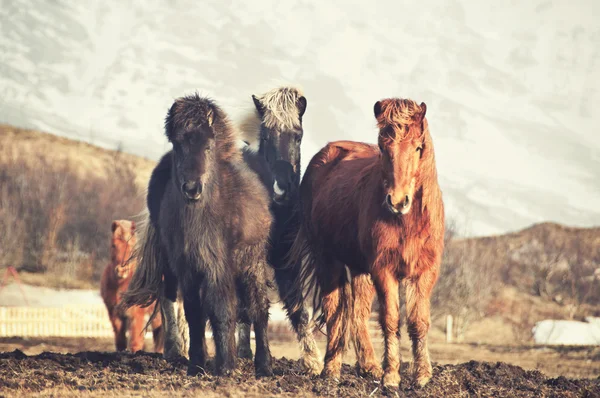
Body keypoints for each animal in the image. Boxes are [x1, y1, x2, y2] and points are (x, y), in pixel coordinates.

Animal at [100, 219, 163, 352]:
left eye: (132, 246)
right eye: (113, 245)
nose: (122, 270)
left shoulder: (136, 316)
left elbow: (135, 343)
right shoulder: (115, 315)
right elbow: (120, 343)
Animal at [290, 98, 446, 388]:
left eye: (418, 148)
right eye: (383, 148)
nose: (398, 201)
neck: (409, 222)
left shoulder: (425, 272)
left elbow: (418, 321)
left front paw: (422, 376)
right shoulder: (384, 270)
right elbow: (390, 320)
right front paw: (391, 377)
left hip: (360, 268)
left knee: (358, 313)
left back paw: (369, 366)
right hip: (327, 260)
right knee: (335, 311)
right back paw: (331, 370)